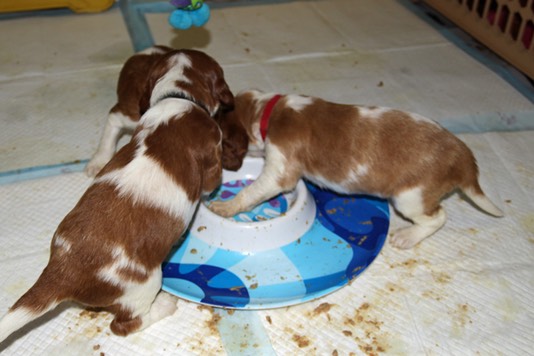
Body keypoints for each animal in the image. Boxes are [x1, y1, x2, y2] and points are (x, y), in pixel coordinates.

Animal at [211, 89, 504, 250]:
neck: (269, 110)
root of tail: (462, 155)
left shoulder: (278, 171)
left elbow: (251, 192)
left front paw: (224, 207)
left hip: (410, 198)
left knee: (438, 217)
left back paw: (407, 237)